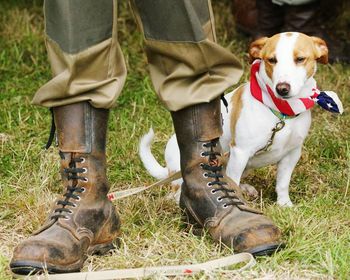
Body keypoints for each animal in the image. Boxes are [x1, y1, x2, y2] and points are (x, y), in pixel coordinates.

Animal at [138, 33, 344, 208]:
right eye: (272, 60)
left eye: (300, 59)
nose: (282, 88)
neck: (281, 113)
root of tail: (168, 169)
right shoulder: (240, 153)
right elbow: (233, 183)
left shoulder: (292, 153)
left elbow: (283, 183)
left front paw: (284, 205)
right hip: (185, 174)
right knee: (176, 192)